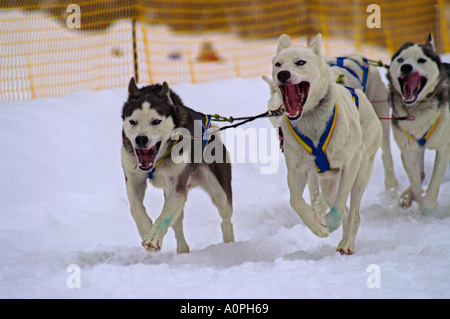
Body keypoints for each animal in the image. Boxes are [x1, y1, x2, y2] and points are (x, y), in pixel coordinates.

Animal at [121, 79, 234, 254]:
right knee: (177, 225)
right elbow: (135, 207)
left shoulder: (177, 186)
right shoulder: (134, 179)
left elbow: (164, 215)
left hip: (220, 193)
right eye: (133, 121)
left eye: (156, 121)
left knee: (226, 220)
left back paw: (229, 245)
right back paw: (183, 250)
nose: (141, 139)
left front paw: (153, 238)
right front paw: (147, 229)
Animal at [270, 34, 384, 255]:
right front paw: (316, 224)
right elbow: (295, 200)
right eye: (278, 64)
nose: (282, 74)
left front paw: (329, 222)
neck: (312, 119)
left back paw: (347, 242)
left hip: (360, 171)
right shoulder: (297, 170)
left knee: (353, 211)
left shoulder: (351, 162)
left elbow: (340, 205)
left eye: (300, 62)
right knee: (345, 211)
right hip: (329, 182)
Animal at [388, 34, 448, 215]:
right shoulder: (409, 150)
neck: (418, 107)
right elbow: (415, 181)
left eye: (421, 60)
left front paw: (429, 205)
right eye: (400, 60)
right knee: (420, 174)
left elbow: (435, 179)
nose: (406, 67)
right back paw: (407, 196)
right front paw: (417, 200)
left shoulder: (443, 148)